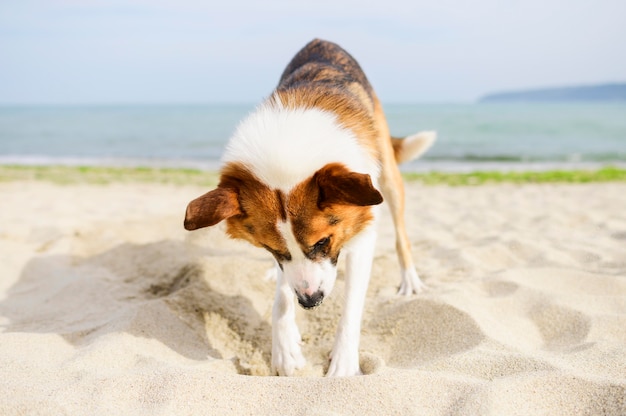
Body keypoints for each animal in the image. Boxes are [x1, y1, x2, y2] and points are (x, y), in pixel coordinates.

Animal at [183, 39, 432, 376]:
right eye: (272, 250)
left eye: (323, 242)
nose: (310, 302)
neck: (290, 148)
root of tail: (321, 41)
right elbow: (281, 297)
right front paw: (284, 349)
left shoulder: (362, 232)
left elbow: (351, 307)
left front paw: (343, 362)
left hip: (388, 175)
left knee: (401, 232)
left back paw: (410, 279)